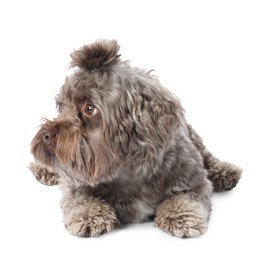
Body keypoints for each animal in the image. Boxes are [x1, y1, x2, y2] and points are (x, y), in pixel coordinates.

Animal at [29, 39, 242, 238]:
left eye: (90, 109)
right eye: (61, 107)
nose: (46, 135)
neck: (128, 171)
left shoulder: (193, 181)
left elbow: (186, 197)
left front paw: (180, 216)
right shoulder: (77, 184)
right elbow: (80, 199)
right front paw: (90, 215)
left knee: (207, 156)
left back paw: (225, 171)